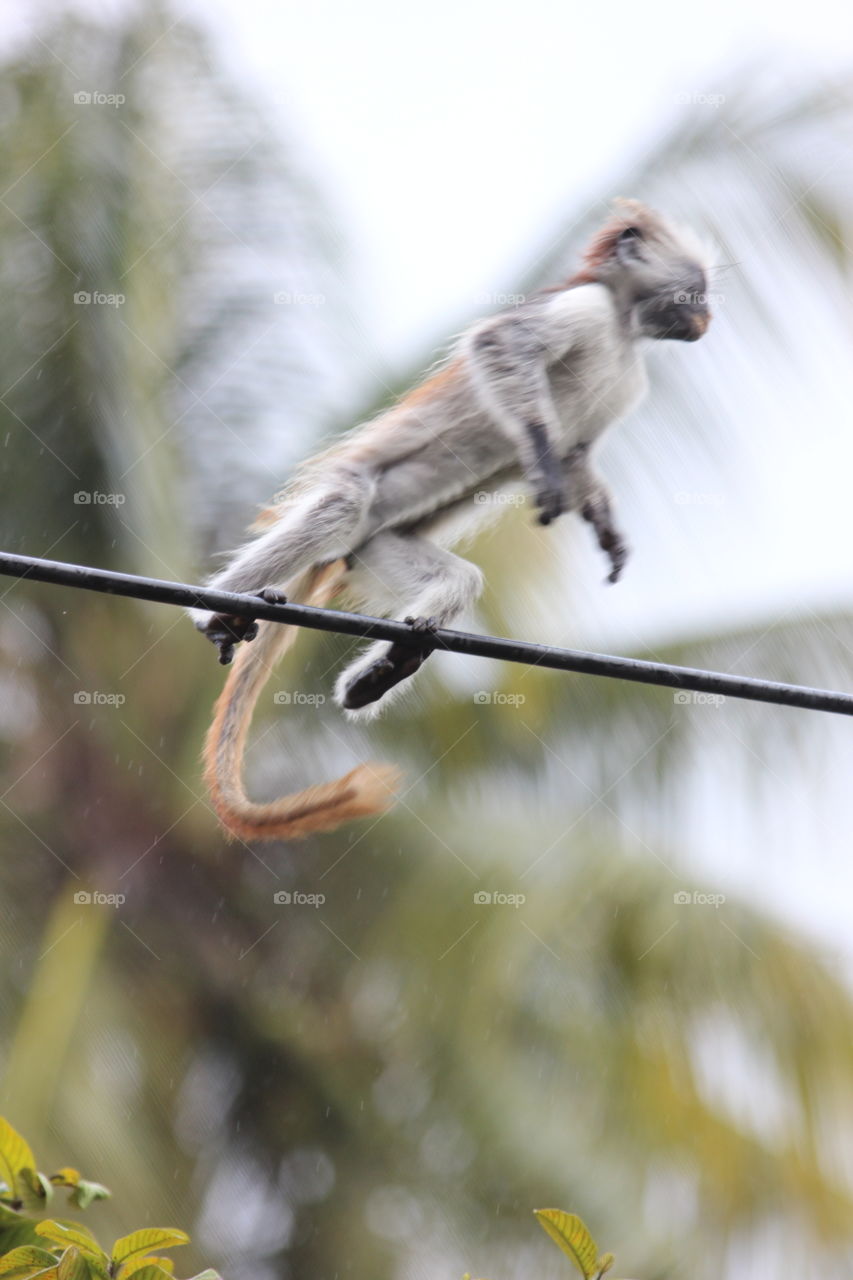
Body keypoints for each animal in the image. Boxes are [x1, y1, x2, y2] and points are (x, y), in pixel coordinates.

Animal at [190, 198, 712, 842]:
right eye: (697, 290)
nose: (707, 318)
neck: (620, 329)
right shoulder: (584, 309)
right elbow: (499, 345)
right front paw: (540, 459)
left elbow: (577, 460)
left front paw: (604, 527)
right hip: (360, 501)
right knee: (344, 503)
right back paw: (215, 612)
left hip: (378, 547)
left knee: (456, 577)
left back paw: (393, 664)